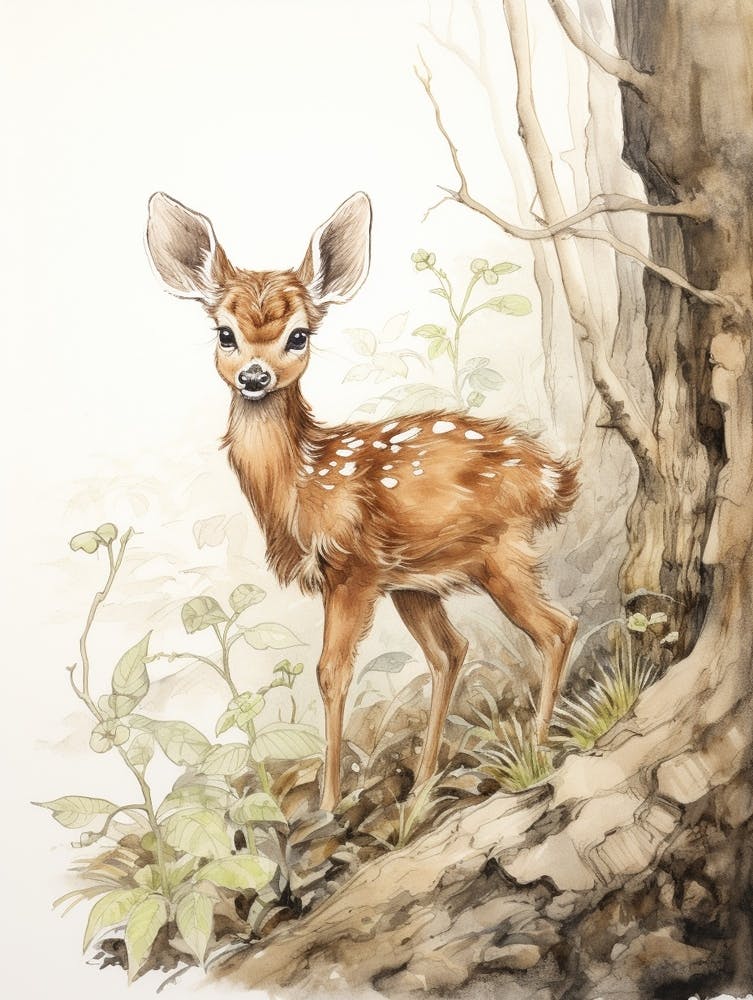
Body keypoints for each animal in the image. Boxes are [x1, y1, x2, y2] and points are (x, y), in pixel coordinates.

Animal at [145, 190, 579, 812]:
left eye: (298, 335)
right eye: (224, 333)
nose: (254, 376)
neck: (301, 482)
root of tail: (553, 475)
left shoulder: (350, 568)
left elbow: (331, 672)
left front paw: (328, 802)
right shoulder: (376, 576)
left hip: (498, 552)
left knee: (556, 627)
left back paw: (538, 749)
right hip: (417, 581)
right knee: (451, 650)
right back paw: (423, 783)